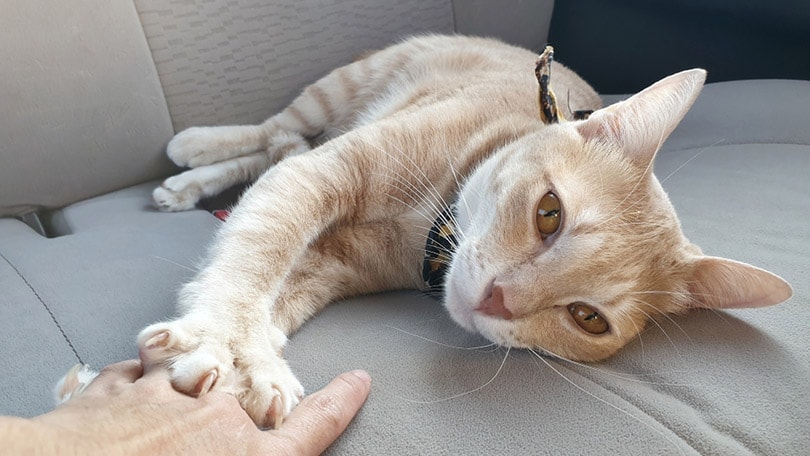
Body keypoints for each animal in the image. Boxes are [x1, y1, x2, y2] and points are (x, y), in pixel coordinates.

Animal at [56, 34, 788, 428]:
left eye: (588, 319)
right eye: (549, 212)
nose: (498, 299)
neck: (429, 225)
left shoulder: (331, 265)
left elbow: (278, 292)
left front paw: (252, 358)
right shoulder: (326, 173)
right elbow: (259, 247)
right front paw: (225, 341)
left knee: (274, 150)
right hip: (337, 90)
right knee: (274, 133)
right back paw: (195, 153)